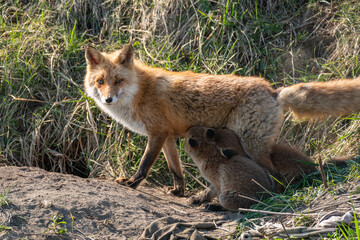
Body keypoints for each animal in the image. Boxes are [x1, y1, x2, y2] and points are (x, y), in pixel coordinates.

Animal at [83, 44, 360, 196]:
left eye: (118, 81)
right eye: (101, 81)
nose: (108, 99)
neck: (140, 92)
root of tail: (274, 92)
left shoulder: (157, 133)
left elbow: (144, 165)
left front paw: (131, 184)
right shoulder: (167, 136)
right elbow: (176, 170)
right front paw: (179, 192)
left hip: (251, 145)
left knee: (273, 174)